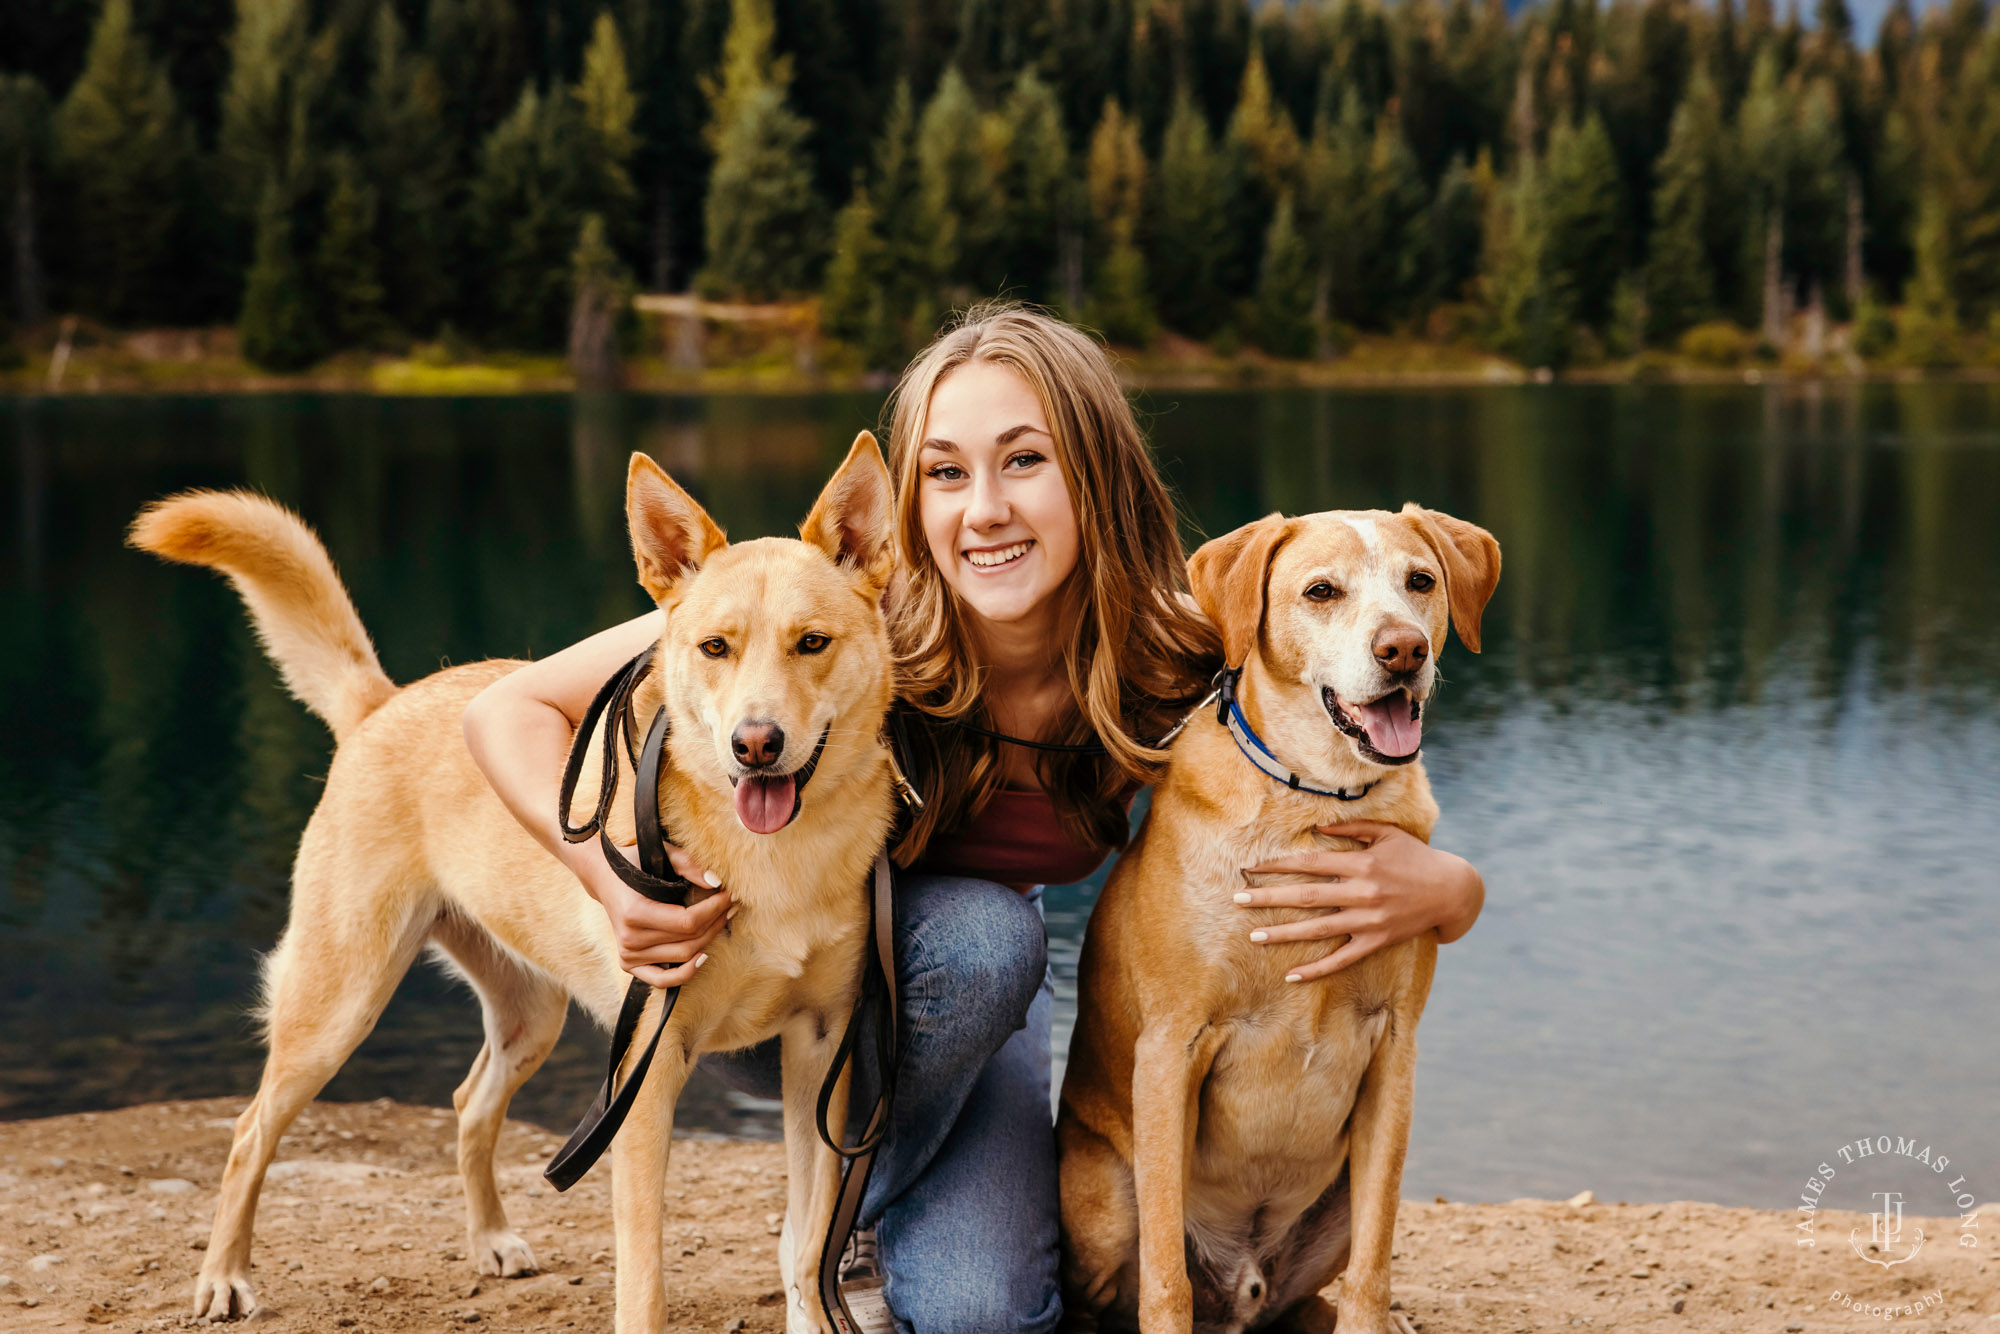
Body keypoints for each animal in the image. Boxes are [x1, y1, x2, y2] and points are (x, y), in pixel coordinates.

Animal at [131, 434, 900, 1328]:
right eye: (716, 647)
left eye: (812, 643)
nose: (757, 743)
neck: (772, 858)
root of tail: (385, 701)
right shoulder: (645, 1073)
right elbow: (645, 1275)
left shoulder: (821, 1051)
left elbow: (809, 1246)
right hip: (336, 1006)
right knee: (249, 1131)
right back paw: (223, 1276)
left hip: (530, 1014)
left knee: (470, 1104)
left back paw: (491, 1239)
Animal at [1064, 504, 1504, 1334]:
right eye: (1321, 591)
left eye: (1420, 581)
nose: (1404, 649)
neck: (1316, 808)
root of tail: (1242, 1289)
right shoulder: (1171, 1048)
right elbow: (1164, 1279)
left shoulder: (1394, 1051)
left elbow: (1373, 1273)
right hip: (1104, 1195)